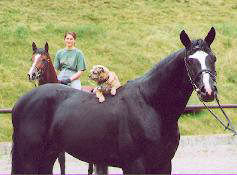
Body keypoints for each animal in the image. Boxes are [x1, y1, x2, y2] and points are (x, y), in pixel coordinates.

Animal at [12, 27, 218, 174]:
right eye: (190, 60)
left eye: (213, 58)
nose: (208, 91)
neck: (151, 105)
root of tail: (21, 102)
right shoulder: (135, 165)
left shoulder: (163, 165)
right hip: (29, 155)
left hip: (48, 154)